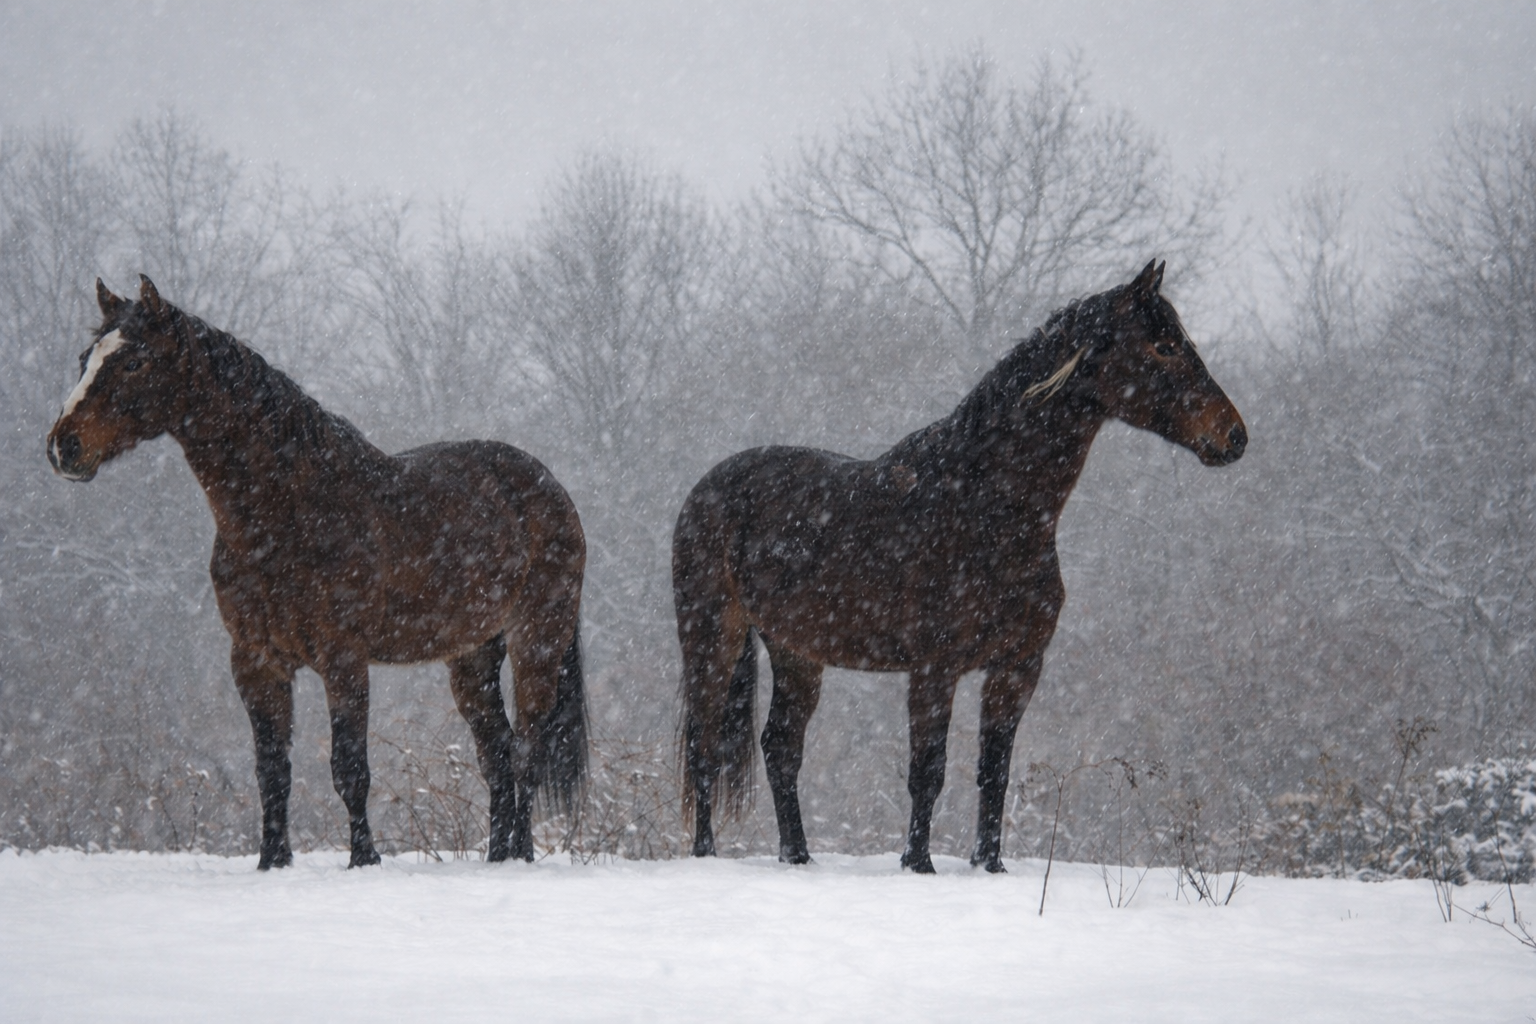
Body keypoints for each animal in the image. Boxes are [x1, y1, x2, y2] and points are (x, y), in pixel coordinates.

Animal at [47, 276, 587, 869]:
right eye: (85, 359)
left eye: (135, 361)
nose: (63, 446)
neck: (288, 511)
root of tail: (550, 487)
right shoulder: (256, 663)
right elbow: (271, 771)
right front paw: (272, 862)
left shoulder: (343, 659)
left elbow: (349, 770)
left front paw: (363, 861)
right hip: (472, 655)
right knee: (495, 753)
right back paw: (498, 856)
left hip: (536, 641)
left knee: (526, 749)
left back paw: (520, 857)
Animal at [673, 260, 1247, 873]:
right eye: (1164, 347)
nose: (1234, 435)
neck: (982, 508)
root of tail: (706, 488)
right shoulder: (934, 669)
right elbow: (928, 772)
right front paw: (918, 865)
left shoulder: (1017, 668)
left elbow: (993, 773)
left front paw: (989, 867)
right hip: (712, 638)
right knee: (705, 749)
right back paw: (705, 854)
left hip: (796, 651)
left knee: (781, 747)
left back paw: (799, 857)